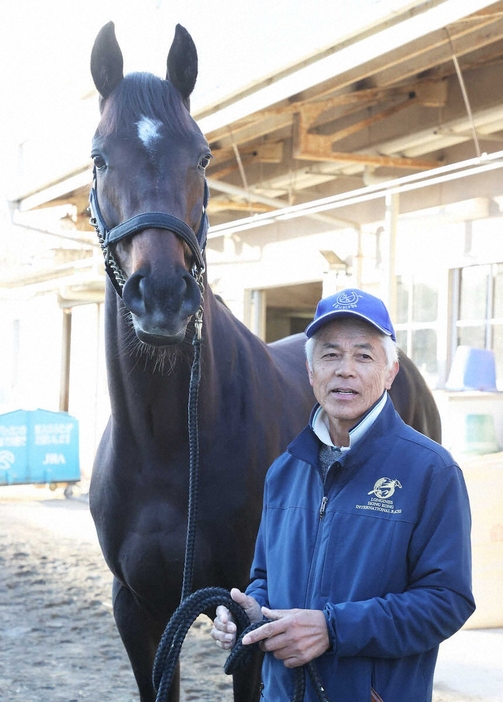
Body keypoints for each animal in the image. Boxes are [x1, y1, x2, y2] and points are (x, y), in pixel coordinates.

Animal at [86, 20, 440, 702]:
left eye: (202, 156)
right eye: (98, 156)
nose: (162, 295)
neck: (168, 446)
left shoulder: (249, 613)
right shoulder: (138, 609)